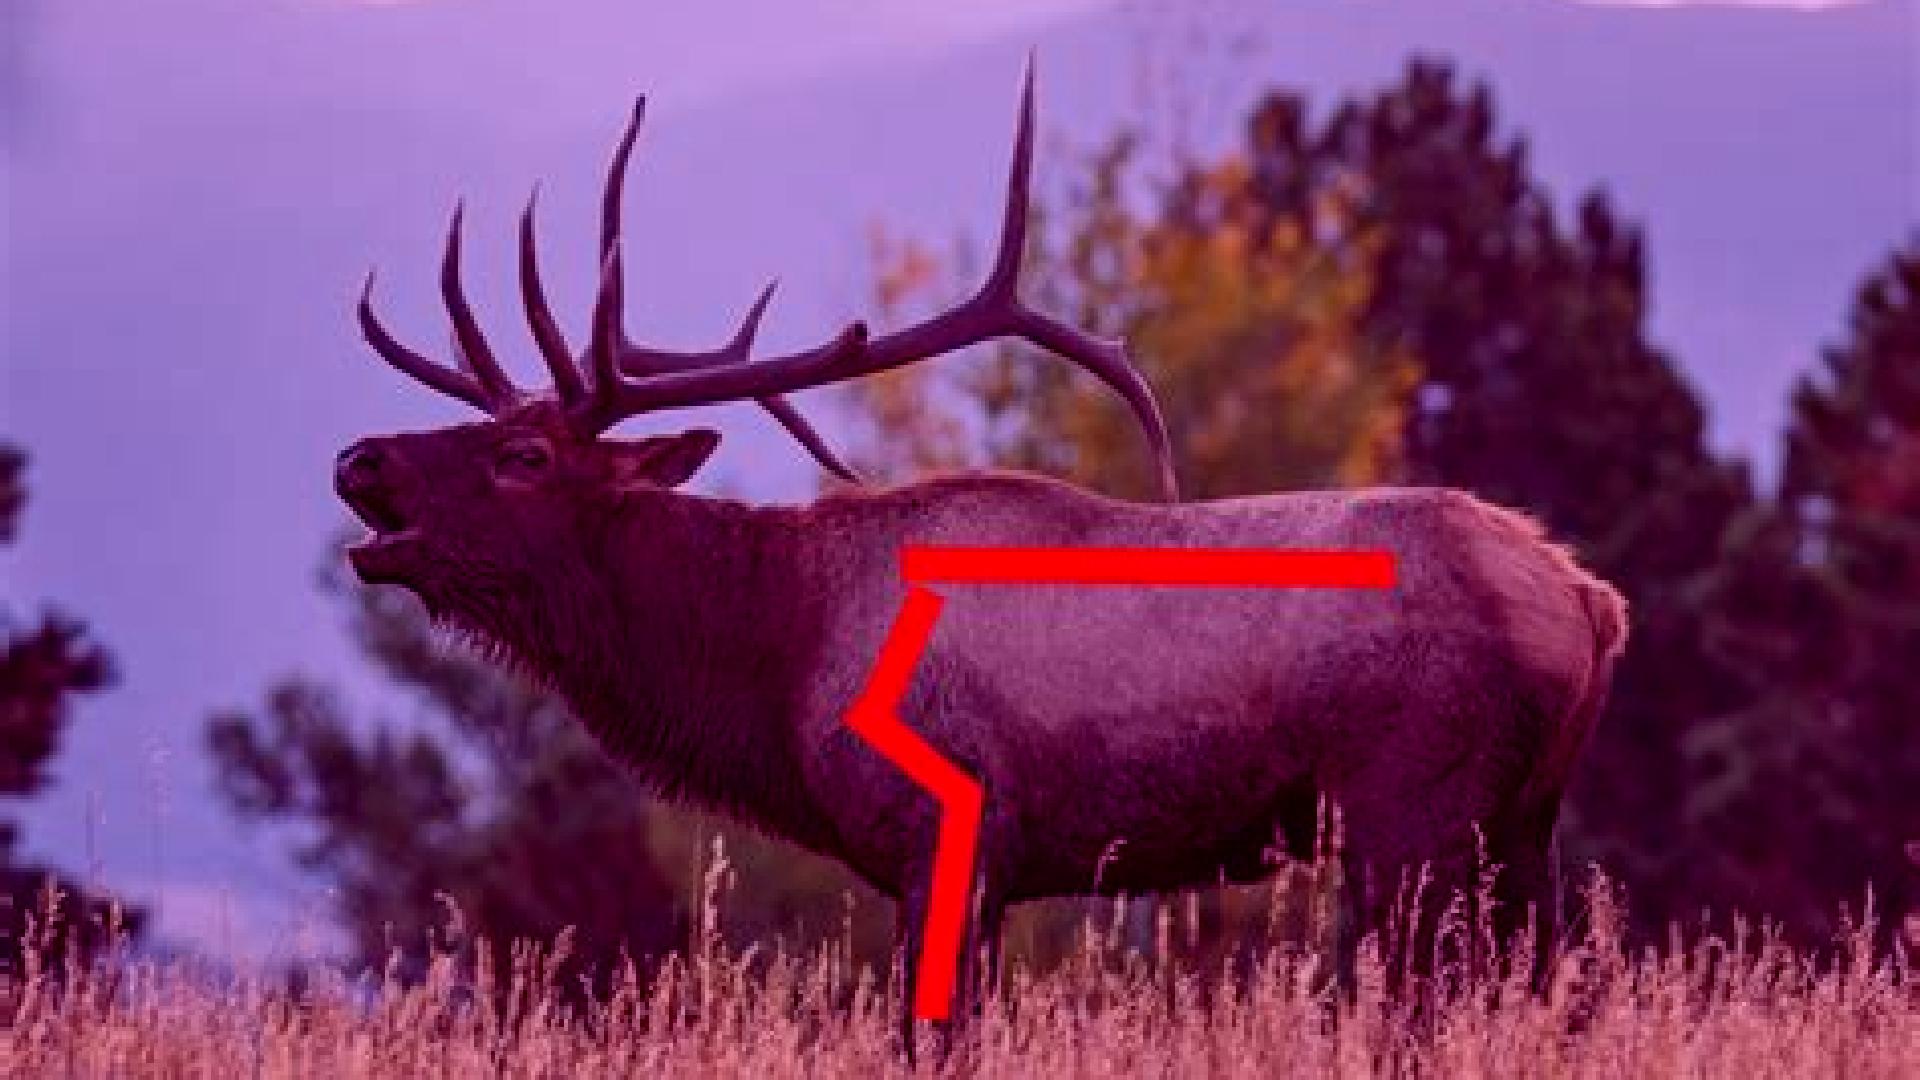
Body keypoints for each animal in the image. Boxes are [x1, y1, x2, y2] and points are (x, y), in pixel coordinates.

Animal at [334, 64, 1628, 1046]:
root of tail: (1593, 602)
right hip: (1526, 824)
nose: (359, 457)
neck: (775, 663)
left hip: (1410, 810)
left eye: (527, 455)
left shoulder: (948, 835)